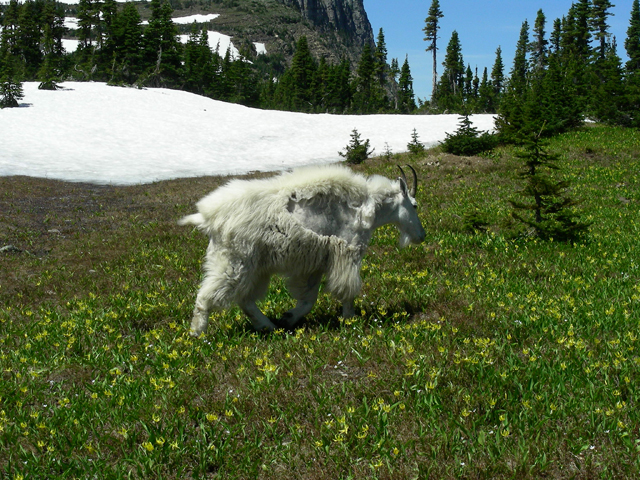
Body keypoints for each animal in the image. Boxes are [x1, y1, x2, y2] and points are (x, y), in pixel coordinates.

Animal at [180, 164, 428, 334]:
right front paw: (350, 321)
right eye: (415, 205)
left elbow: (308, 299)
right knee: (206, 296)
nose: (421, 236)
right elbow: (347, 291)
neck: (366, 209)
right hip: (234, 261)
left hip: (255, 268)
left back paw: (270, 327)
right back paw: (198, 335)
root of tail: (207, 217)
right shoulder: (348, 254)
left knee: (245, 299)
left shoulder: (314, 264)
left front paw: (288, 318)